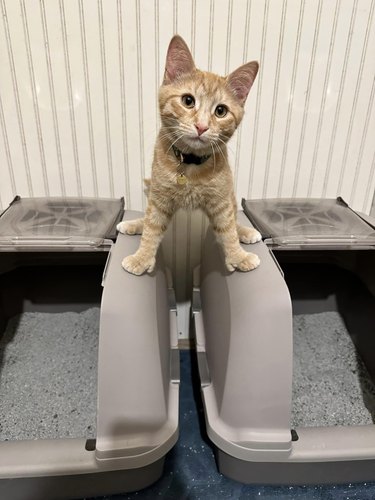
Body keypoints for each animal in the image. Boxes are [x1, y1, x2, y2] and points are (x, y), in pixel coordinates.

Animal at [117, 34, 262, 278]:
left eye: (221, 111)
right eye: (188, 100)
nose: (201, 126)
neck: (191, 164)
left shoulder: (221, 201)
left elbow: (228, 229)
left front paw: (238, 256)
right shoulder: (159, 198)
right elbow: (151, 227)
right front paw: (141, 258)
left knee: (234, 216)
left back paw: (246, 232)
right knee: (146, 218)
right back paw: (132, 224)